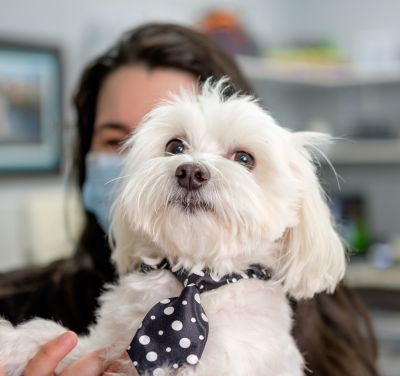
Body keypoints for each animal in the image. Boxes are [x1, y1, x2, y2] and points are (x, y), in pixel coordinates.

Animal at [0, 79, 346, 376]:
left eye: (245, 158)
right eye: (175, 147)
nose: (190, 172)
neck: (195, 278)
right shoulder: (104, 342)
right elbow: (60, 337)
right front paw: (9, 342)